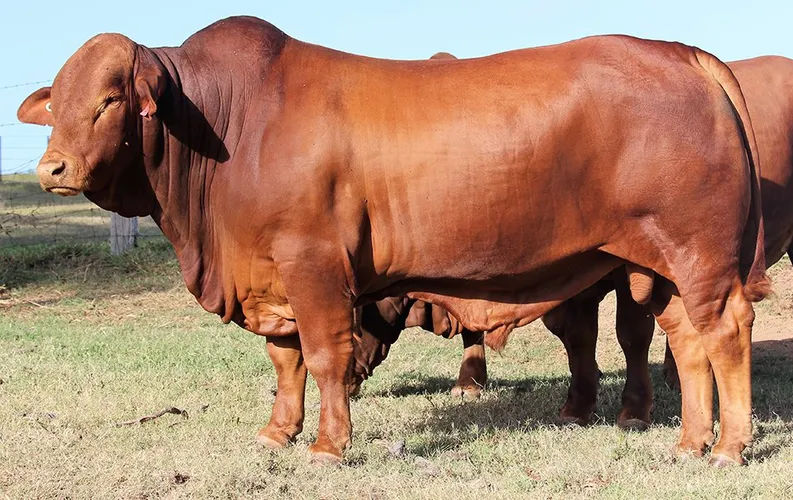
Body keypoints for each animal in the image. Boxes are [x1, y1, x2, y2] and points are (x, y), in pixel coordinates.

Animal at [18, 16, 767, 465]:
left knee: (725, 331)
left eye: (110, 99)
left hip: (699, 255)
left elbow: (322, 355)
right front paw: (277, 432)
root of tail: (681, 53)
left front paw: (328, 445)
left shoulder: (311, 262)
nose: (52, 169)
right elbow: (283, 360)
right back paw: (689, 440)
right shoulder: (268, 277)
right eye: (56, 102)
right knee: (685, 340)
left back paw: (728, 446)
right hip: (660, 267)